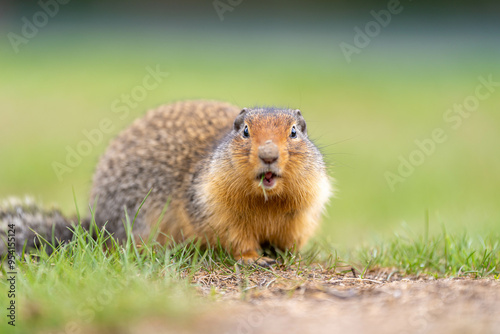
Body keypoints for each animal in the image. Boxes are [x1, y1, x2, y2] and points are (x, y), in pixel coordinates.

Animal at [2, 100, 336, 264]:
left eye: (294, 132)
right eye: (244, 131)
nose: (268, 155)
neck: (266, 199)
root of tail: (93, 225)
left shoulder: (303, 211)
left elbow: (293, 237)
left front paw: (290, 255)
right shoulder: (213, 206)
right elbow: (235, 237)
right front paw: (254, 259)